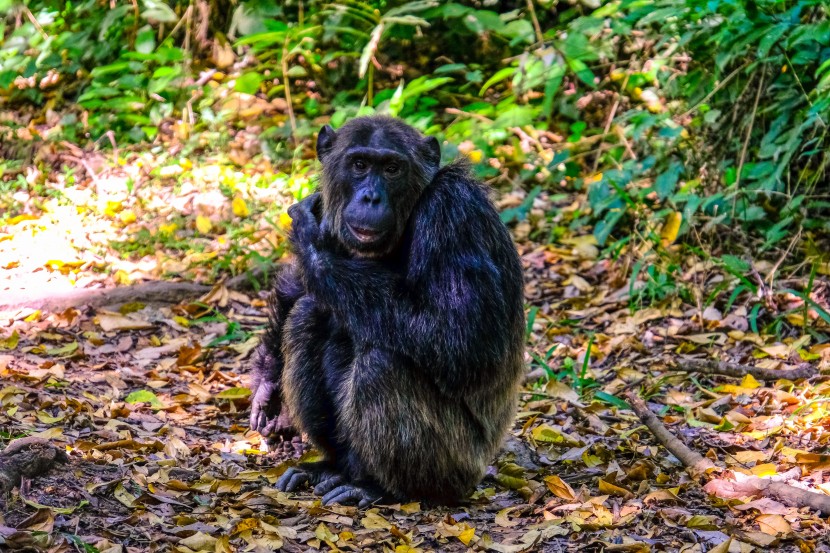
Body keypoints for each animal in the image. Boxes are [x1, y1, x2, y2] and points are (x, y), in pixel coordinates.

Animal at [249, 115, 528, 504]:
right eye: (359, 164)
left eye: (392, 169)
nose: (371, 195)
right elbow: (298, 287)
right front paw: (268, 386)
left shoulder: (454, 213)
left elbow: (464, 338)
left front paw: (310, 237)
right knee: (307, 315)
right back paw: (331, 468)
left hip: (458, 468)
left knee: (382, 365)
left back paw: (376, 487)